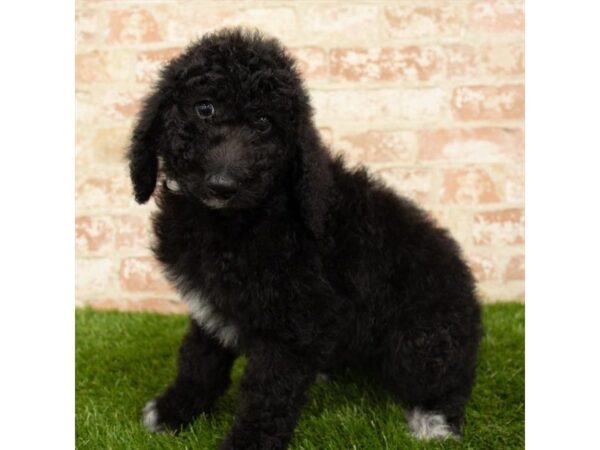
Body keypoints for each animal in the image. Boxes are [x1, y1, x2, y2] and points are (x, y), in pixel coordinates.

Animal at [127, 29, 482, 450]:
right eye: (205, 109)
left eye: (264, 123)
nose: (222, 185)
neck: (233, 221)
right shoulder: (211, 306)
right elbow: (198, 360)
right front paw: (174, 410)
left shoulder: (294, 321)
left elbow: (268, 391)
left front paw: (247, 442)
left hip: (421, 338)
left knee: (445, 377)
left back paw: (436, 418)